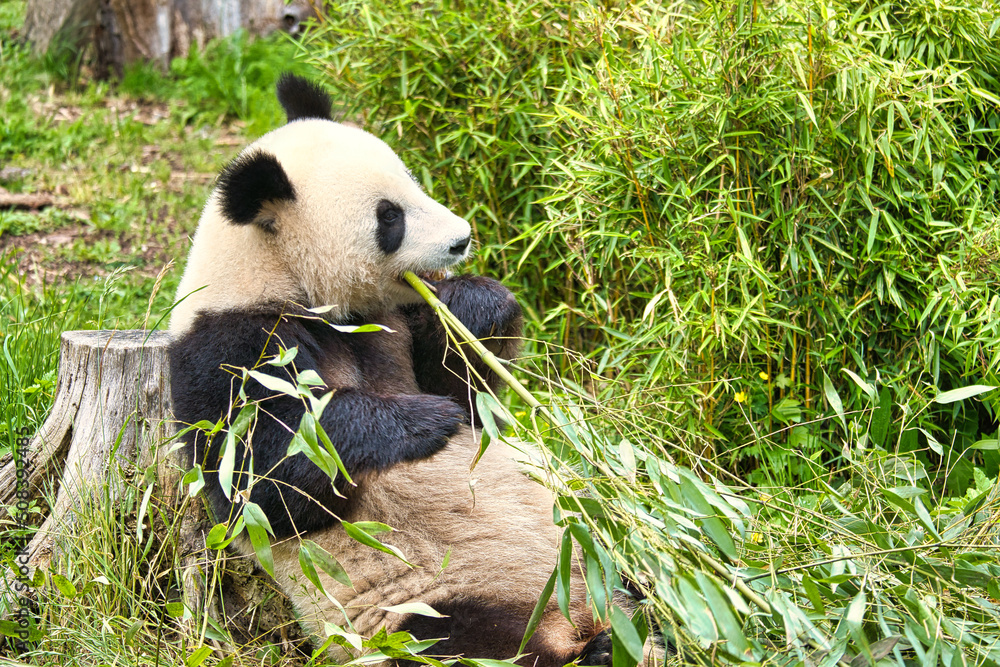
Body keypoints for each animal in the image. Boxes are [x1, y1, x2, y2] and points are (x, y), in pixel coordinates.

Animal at [168, 74, 614, 666]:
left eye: (412, 183)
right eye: (389, 217)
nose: (461, 239)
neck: (281, 278)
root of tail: (571, 619)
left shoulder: (390, 321)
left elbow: (472, 399)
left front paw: (475, 306)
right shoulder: (230, 346)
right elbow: (265, 478)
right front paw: (423, 422)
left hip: (586, 556)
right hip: (422, 608)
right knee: (471, 645)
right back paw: (595, 651)